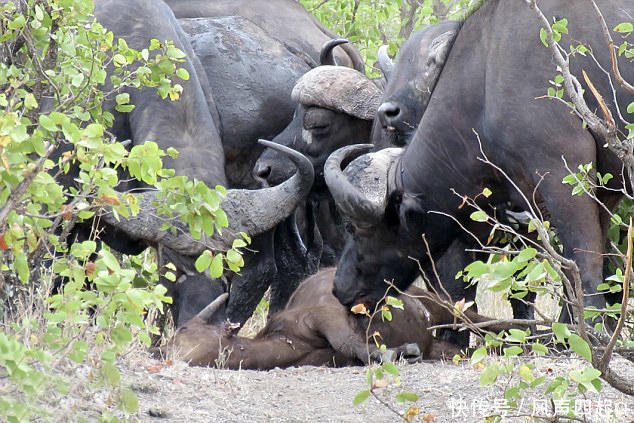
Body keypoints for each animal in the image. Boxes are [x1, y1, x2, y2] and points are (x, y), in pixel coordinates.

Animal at [164, 268, 508, 372]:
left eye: (185, 329)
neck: (287, 337)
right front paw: (402, 352)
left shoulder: (324, 315)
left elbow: (352, 342)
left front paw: (398, 352)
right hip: (438, 342)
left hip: (440, 304)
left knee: (483, 321)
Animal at [326, 0, 632, 322]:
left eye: (352, 227)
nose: (339, 288)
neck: (484, 83)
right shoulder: (601, 194)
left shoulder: (565, 175)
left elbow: (585, 273)